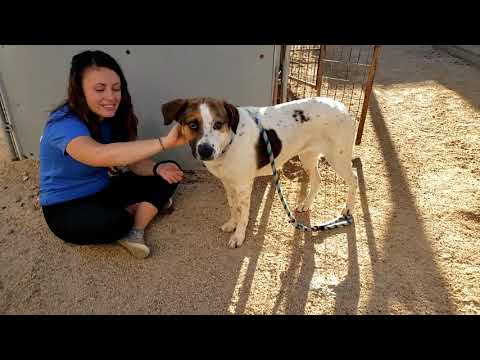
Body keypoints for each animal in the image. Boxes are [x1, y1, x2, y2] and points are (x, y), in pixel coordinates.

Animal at [161, 97, 356, 249]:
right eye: (193, 124)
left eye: (218, 124)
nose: (205, 150)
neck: (230, 141)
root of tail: (342, 106)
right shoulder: (228, 183)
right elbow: (233, 207)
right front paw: (232, 224)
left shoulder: (243, 186)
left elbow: (244, 214)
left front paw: (238, 236)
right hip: (307, 155)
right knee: (317, 179)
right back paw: (305, 205)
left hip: (337, 157)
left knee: (353, 179)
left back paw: (347, 210)